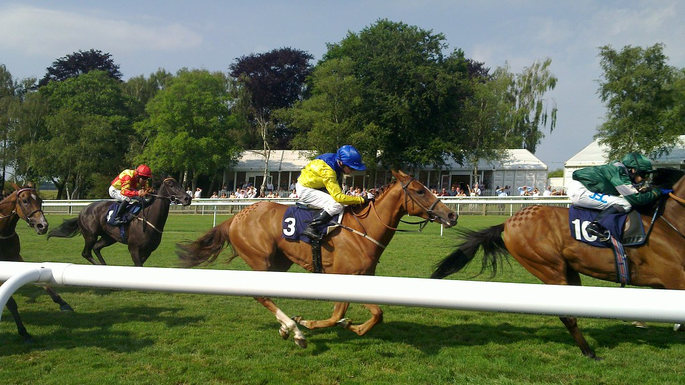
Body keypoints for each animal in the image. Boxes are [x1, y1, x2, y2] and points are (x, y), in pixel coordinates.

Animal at [0, 184, 72, 340]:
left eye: (40, 200)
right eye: (25, 201)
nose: (42, 225)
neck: (2, 233)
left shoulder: (15, 258)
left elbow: (40, 279)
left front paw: (62, 302)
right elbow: (11, 303)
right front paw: (23, 331)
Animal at [49, 176, 191, 264]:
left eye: (179, 184)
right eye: (171, 185)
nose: (187, 198)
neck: (148, 219)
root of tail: (82, 211)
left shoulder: (148, 251)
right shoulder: (134, 249)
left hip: (108, 237)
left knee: (96, 248)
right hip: (90, 235)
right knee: (86, 253)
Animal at [176, 170, 456, 346]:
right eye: (419, 191)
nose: (451, 214)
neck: (364, 230)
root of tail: (235, 217)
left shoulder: (363, 279)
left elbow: (377, 314)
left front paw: (352, 326)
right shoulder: (345, 278)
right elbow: (338, 316)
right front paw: (311, 323)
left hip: (279, 262)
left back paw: (286, 326)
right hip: (261, 260)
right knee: (261, 295)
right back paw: (295, 330)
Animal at [432, 170, 684, 358]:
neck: (668, 222)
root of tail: (508, 222)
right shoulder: (674, 278)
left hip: (569, 272)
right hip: (549, 268)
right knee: (566, 314)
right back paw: (589, 352)